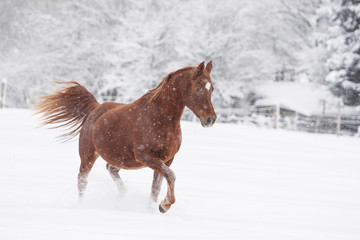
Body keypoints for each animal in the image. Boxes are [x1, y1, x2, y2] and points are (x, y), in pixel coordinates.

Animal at [34, 61, 217, 213]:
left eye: (212, 89)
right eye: (198, 88)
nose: (211, 119)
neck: (160, 118)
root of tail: (95, 109)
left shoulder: (166, 159)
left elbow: (157, 187)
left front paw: (154, 209)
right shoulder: (146, 156)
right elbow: (171, 176)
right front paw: (164, 205)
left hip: (120, 158)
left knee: (111, 169)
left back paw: (123, 196)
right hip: (88, 156)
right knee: (82, 182)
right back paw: (81, 206)